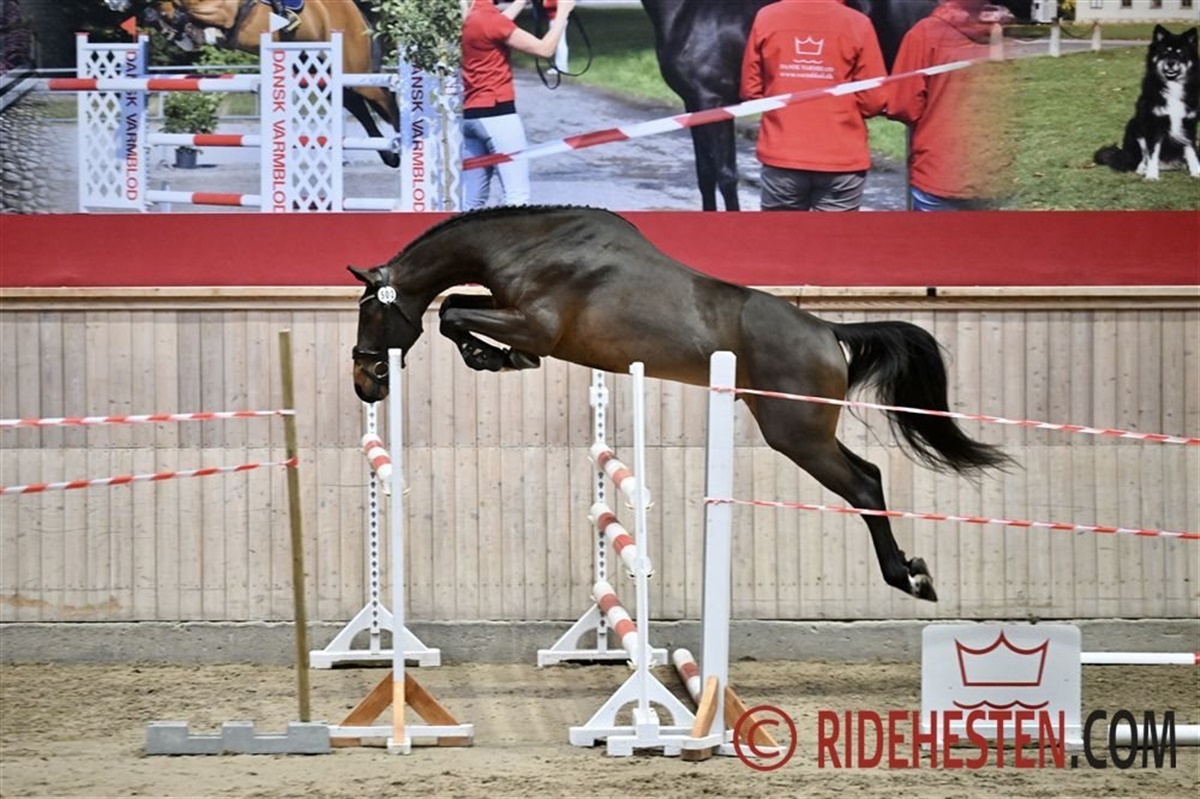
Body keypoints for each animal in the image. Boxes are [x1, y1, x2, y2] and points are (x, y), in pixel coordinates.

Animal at [104, 0, 400, 167]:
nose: (113, 3)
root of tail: (360, 17)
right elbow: (160, 10)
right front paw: (180, 31)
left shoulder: (221, 9)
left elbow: (185, 11)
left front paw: (194, 31)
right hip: (319, 73)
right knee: (358, 105)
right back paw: (390, 156)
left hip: (356, 71)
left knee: (384, 99)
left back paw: (403, 145)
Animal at [349, 206, 1011, 602]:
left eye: (372, 312)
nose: (365, 381)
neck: (532, 246)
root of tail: (828, 331)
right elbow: (457, 305)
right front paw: (497, 357)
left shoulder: (536, 324)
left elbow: (452, 313)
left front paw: (492, 356)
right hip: (803, 432)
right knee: (869, 474)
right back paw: (912, 573)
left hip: (796, 434)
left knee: (865, 485)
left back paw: (909, 578)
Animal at [1094, 25, 1199, 181]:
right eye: (1165, 51)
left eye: (1180, 52)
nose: (1171, 63)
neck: (1172, 85)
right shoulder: (1153, 124)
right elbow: (1152, 153)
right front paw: (1151, 175)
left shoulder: (1188, 123)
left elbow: (1191, 149)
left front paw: (1196, 171)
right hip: (1134, 126)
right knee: (1143, 157)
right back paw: (1143, 168)